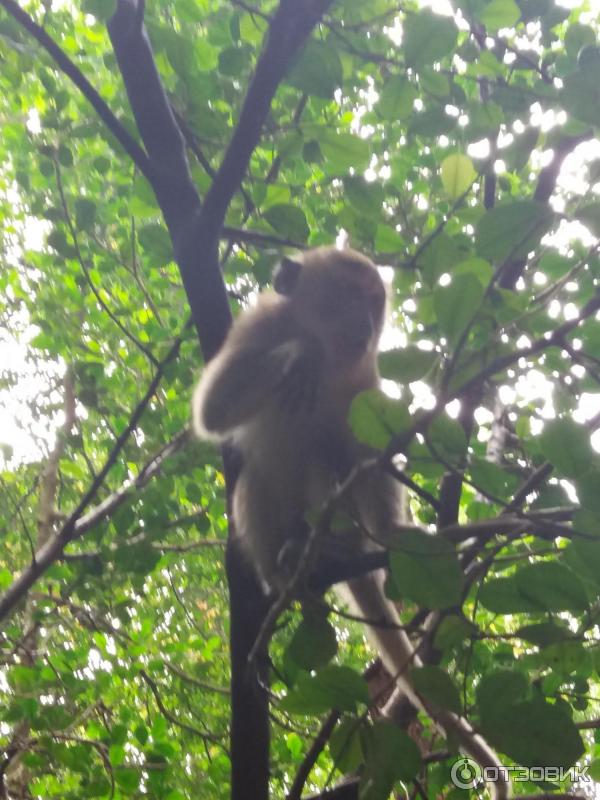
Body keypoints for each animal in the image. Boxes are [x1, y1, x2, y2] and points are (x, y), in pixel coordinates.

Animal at [195, 247, 508, 796]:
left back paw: (334, 549)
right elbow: (214, 411)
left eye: (373, 301)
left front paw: (391, 531)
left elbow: (368, 454)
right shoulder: (257, 329)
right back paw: (284, 571)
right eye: (344, 294)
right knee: (256, 480)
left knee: (330, 461)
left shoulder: (363, 374)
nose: (364, 321)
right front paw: (301, 354)